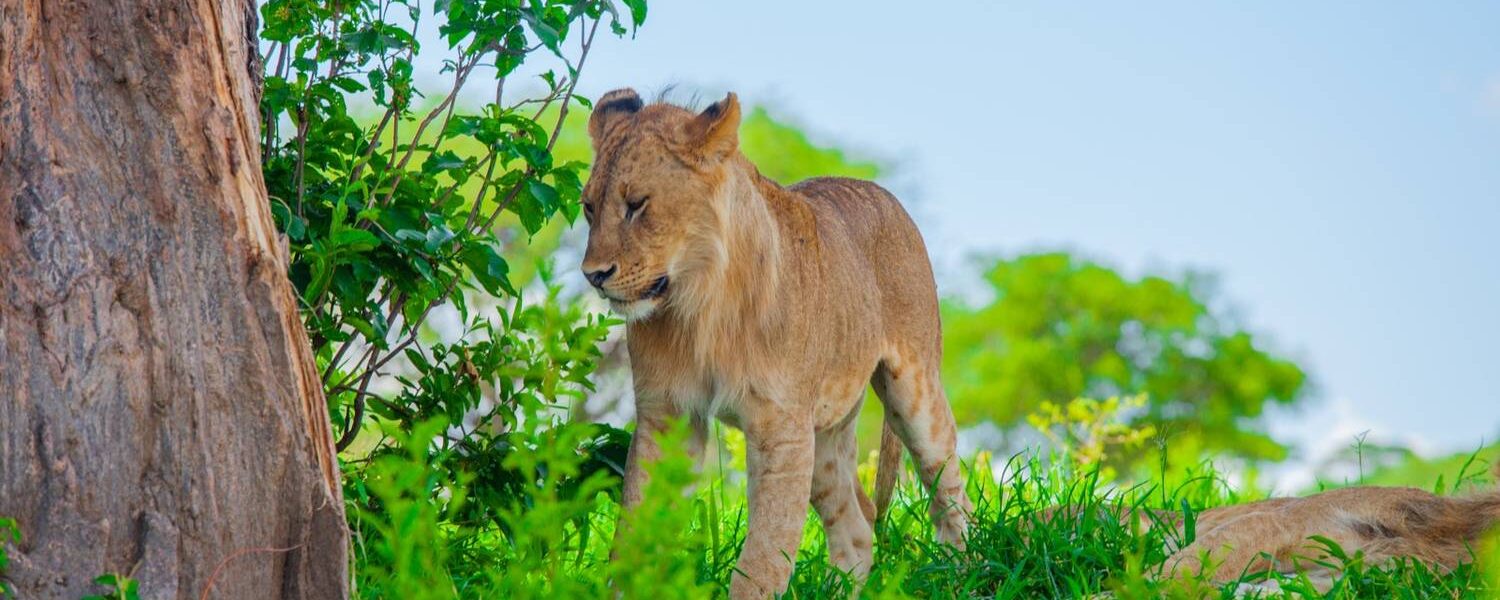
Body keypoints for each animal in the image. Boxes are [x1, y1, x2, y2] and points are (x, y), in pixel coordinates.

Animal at [580, 88, 971, 598]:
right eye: (589, 207)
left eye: (637, 204)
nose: (593, 275)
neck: (697, 305)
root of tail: (883, 193)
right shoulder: (667, 413)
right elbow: (637, 528)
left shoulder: (780, 425)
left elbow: (765, 552)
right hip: (824, 432)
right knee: (857, 527)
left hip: (913, 392)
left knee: (951, 496)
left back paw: (962, 574)